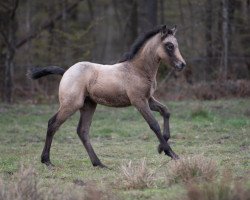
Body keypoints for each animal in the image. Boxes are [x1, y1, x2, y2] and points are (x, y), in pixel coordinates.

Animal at [28, 25, 186, 168]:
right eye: (169, 45)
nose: (182, 64)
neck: (137, 70)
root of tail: (66, 71)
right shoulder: (139, 101)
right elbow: (154, 125)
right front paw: (172, 153)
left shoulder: (149, 99)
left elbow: (166, 111)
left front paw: (160, 148)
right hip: (71, 104)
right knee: (52, 124)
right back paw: (47, 161)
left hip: (89, 105)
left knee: (82, 131)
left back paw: (99, 163)